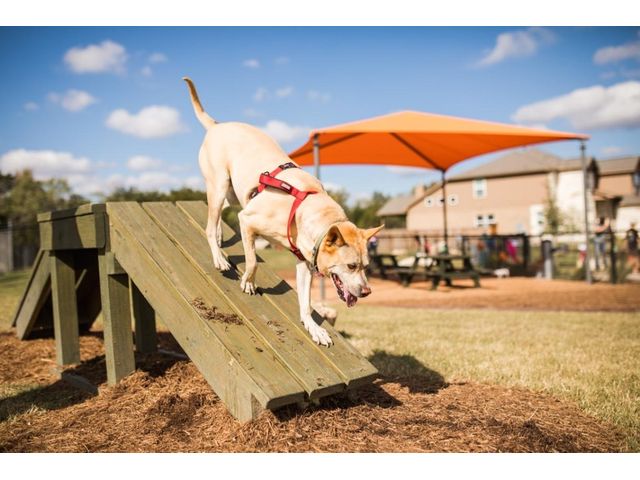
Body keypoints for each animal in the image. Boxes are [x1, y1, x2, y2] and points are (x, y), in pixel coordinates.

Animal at [183, 78, 383, 346]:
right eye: (351, 266)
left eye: (367, 266)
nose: (367, 291)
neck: (305, 208)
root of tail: (217, 125)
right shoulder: (247, 221)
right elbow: (252, 261)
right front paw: (248, 282)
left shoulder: (305, 263)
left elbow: (306, 303)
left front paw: (314, 329)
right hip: (219, 184)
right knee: (209, 224)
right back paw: (218, 257)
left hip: (233, 193)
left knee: (218, 217)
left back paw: (219, 236)